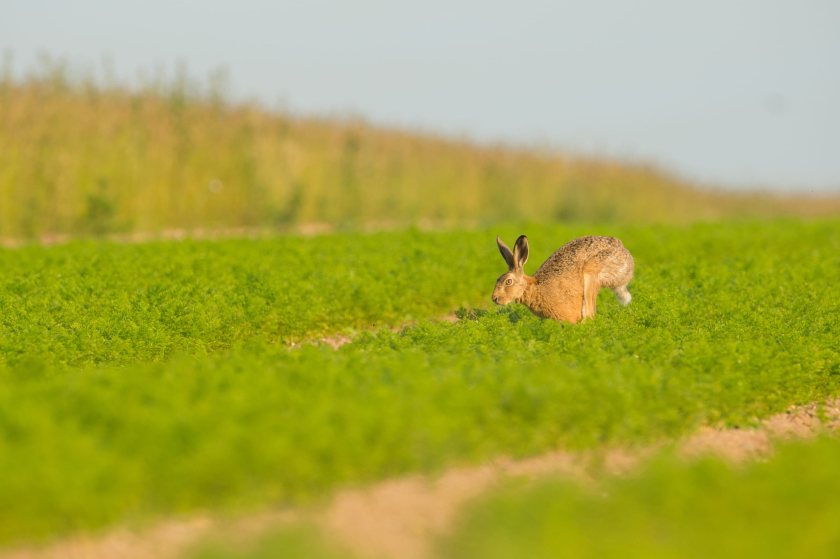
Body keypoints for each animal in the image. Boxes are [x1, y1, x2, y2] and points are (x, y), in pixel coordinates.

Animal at [492, 234, 634, 323]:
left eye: (508, 281)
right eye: (497, 279)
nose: (494, 299)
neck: (533, 287)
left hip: (591, 275)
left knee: (590, 314)